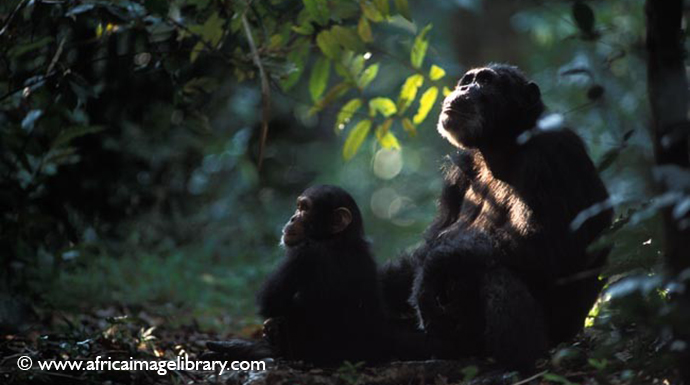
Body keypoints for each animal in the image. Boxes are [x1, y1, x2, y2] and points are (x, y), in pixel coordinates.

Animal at [378, 63, 612, 368]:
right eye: (467, 80)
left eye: (486, 81)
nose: (465, 88)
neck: (500, 147)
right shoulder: (458, 172)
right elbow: (429, 242)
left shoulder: (553, 154)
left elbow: (554, 243)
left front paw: (434, 267)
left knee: (494, 272)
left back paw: (518, 364)